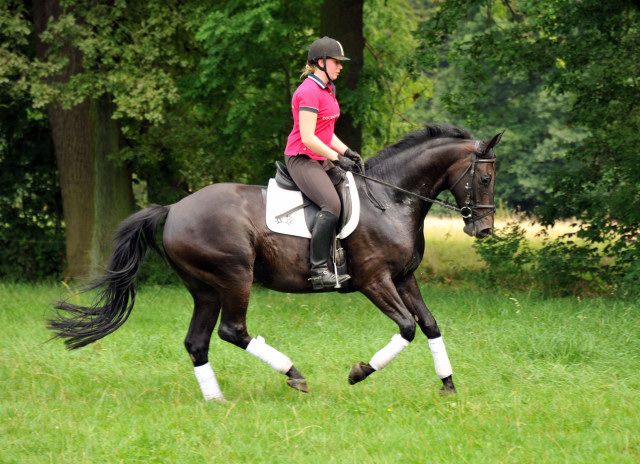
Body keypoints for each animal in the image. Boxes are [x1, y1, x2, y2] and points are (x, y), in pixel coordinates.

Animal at [48, 124, 504, 402]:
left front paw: (447, 385)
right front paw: (359, 372)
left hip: (205, 289)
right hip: (235, 277)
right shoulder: (375, 280)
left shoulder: (404, 277)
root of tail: (175, 208)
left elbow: (429, 325)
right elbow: (407, 327)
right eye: (484, 178)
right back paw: (293, 374)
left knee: (197, 342)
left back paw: (216, 399)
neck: (391, 199)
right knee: (233, 331)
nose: (483, 229)